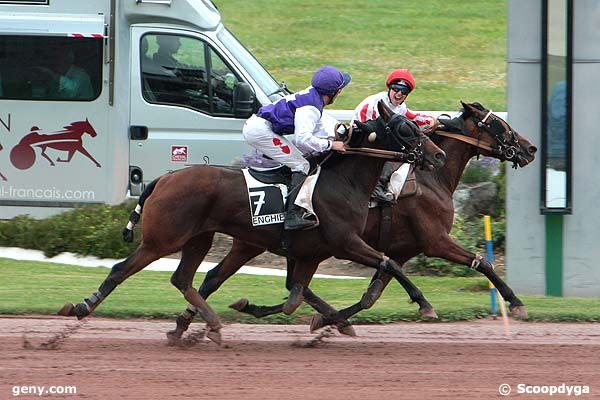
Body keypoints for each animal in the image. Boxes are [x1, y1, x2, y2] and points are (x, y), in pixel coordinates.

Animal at [58, 101, 446, 344]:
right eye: (405, 128)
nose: (439, 155)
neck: (342, 180)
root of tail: (162, 179)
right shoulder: (345, 241)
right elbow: (390, 262)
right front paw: (424, 304)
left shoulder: (311, 253)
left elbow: (295, 297)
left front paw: (331, 321)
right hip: (163, 239)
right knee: (121, 269)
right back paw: (83, 307)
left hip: (202, 239)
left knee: (187, 279)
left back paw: (200, 325)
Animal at [168, 101, 536, 338]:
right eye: (500, 126)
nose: (530, 149)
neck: (431, 180)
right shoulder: (434, 241)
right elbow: (481, 263)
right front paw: (516, 303)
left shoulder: (402, 249)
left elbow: (372, 294)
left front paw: (326, 323)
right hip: (258, 242)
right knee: (220, 278)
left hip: (255, 243)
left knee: (218, 277)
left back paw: (188, 322)